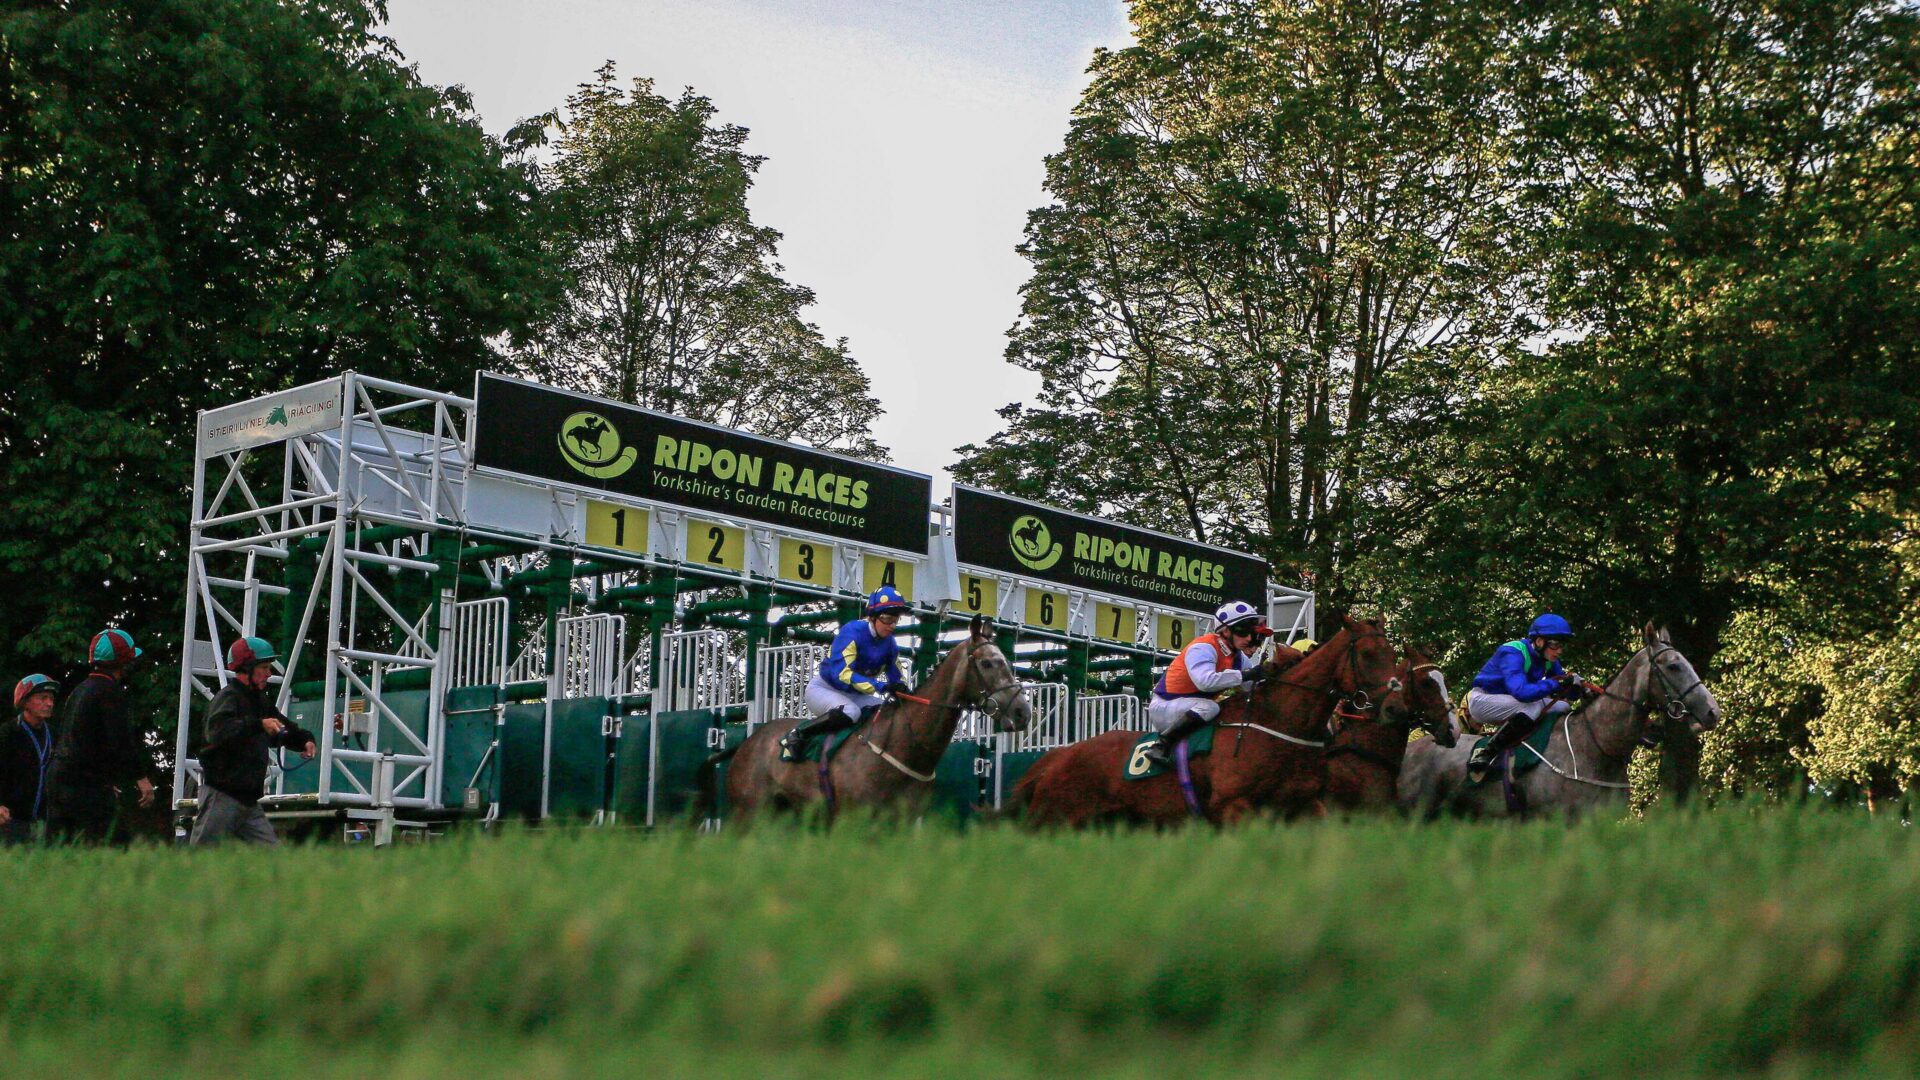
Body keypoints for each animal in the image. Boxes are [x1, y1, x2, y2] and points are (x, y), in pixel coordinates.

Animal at [695, 614, 1029, 822]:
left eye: (1006, 661)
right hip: (748, 811)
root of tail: (747, 743)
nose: (1023, 712)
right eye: (987, 663)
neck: (904, 744)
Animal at [1021, 614, 1397, 822]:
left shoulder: (1305, 804)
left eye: (1393, 654)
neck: (1278, 723)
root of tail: (1056, 758)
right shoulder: (1234, 806)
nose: (1392, 705)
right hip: (1056, 818)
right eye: (1367, 654)